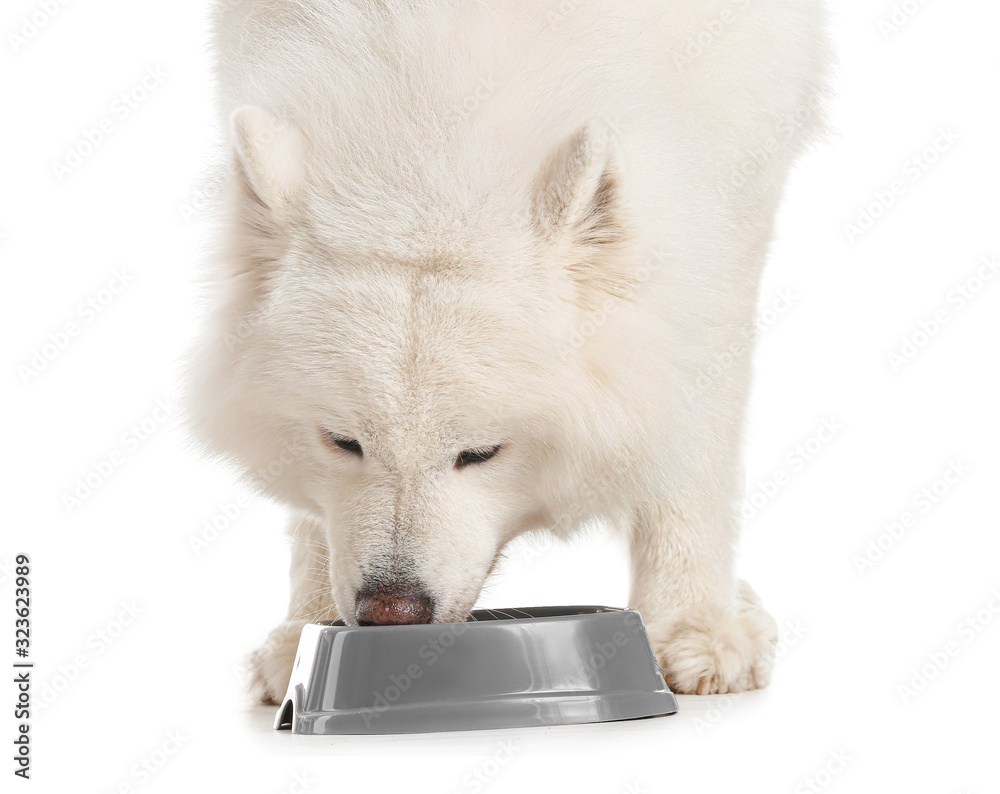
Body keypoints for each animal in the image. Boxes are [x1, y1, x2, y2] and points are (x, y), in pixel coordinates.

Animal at [186, 3, 828, 704]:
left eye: (482, 453)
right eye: (342, 442)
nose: (392, 612)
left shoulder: (728, 207)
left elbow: (691, 428)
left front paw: (695, 624)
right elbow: (317, 516)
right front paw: (305, 628)